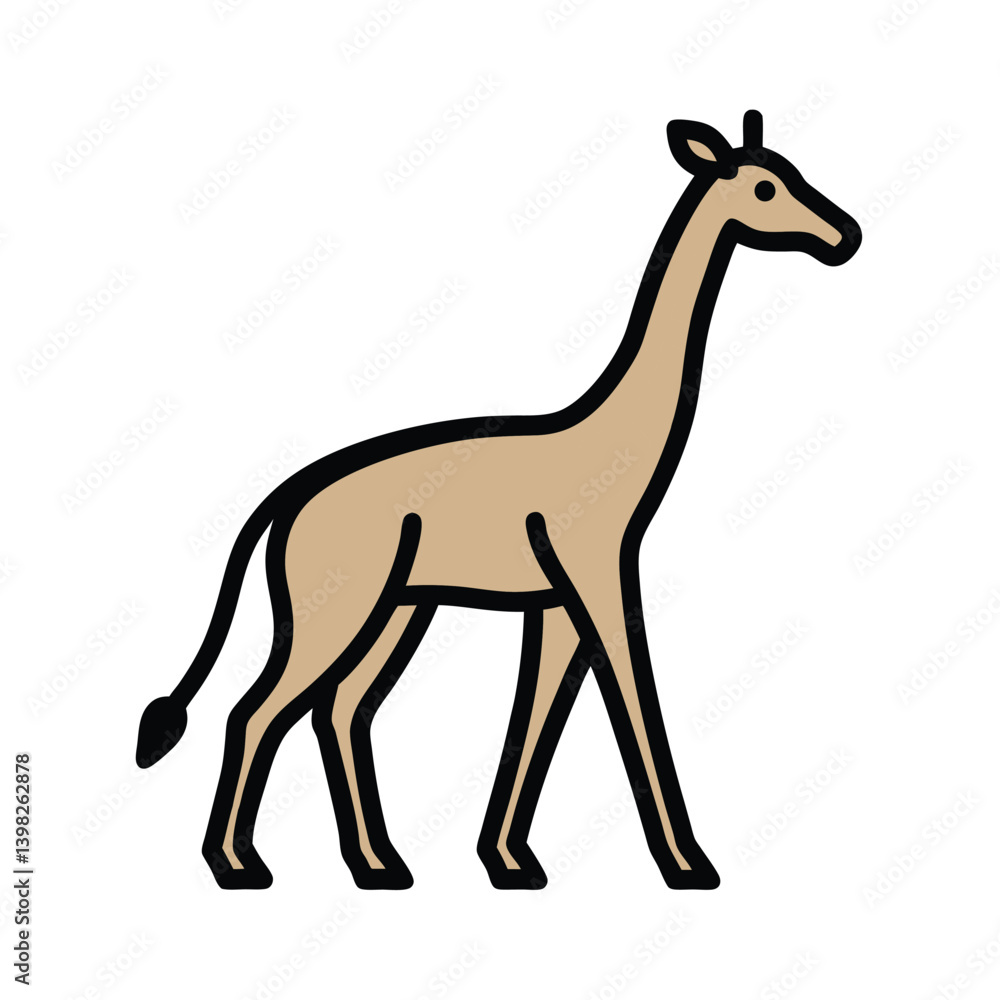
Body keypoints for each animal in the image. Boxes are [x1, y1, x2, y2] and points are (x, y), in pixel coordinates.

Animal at [137, 110, 861, 892]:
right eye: (765, 188)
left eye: (793, 172)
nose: (844, 236)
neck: (614, 438)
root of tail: (285, 498)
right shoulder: (600, 574)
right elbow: (631, 698)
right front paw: (687, 864)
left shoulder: (553, 604)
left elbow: (539, 716)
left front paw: (511, 862)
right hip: (337, 608)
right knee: (258, 711)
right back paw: (240, 865)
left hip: (396, 608)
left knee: (339, 709)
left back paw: (379, 865)